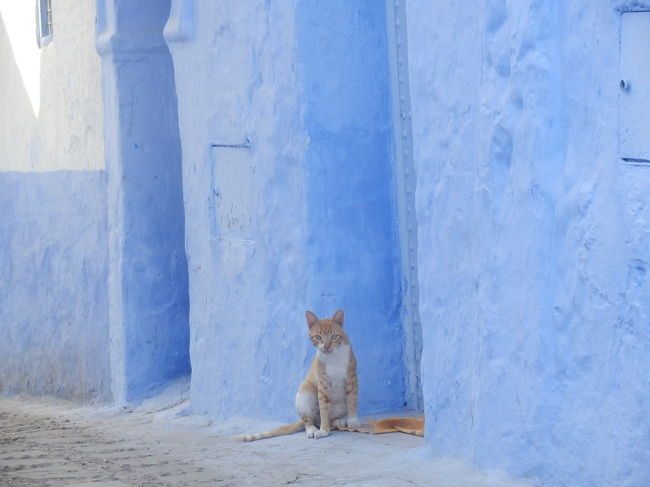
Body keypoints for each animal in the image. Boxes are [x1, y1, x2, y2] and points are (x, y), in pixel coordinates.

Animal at [238, 312, 360, 442]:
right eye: (318, 337)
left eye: (334, 337)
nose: (326, 347)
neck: (334, 358)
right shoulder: (323, 384)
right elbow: (324, 410)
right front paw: (324, 430)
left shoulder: (351, 379)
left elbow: (352, 402)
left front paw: (353, 421)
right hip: (305, 391)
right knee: (309, 419)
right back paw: (313, 429)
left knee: (332, 417)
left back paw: (339, 421)